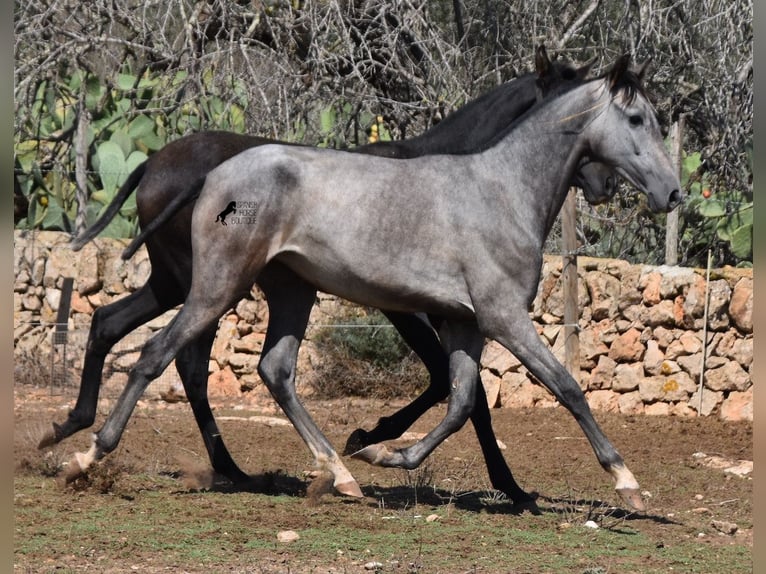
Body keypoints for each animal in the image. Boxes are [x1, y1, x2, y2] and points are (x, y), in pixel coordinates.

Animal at [63, 55, 680, 512]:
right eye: (635, 120)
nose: (672, 193)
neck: (500, 190)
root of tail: (211, 173)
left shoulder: (464, 321)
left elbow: (462, 401)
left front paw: (383, 454)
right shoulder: (502, 317)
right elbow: (565, 388)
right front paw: (627, 483)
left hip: (285, 290)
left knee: (270, 369)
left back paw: (337, 474)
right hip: (217, 284)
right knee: (157, 353)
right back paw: (87, 457)